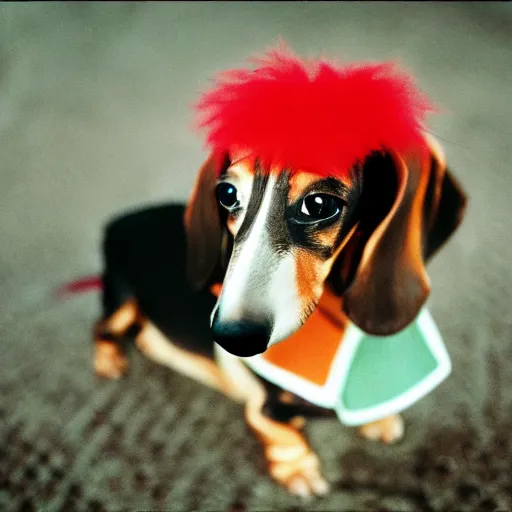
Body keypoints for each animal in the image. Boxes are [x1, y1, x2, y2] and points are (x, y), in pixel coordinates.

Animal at [91, 129, 464, 496]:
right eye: (227, 193)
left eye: (320, 204)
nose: (231, 338)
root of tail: (116, 221)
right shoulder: (263, 410)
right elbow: (287, 438)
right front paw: (298, 470)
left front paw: (378, 418)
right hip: (123, 301)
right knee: (101, 327)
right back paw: (109, 360)